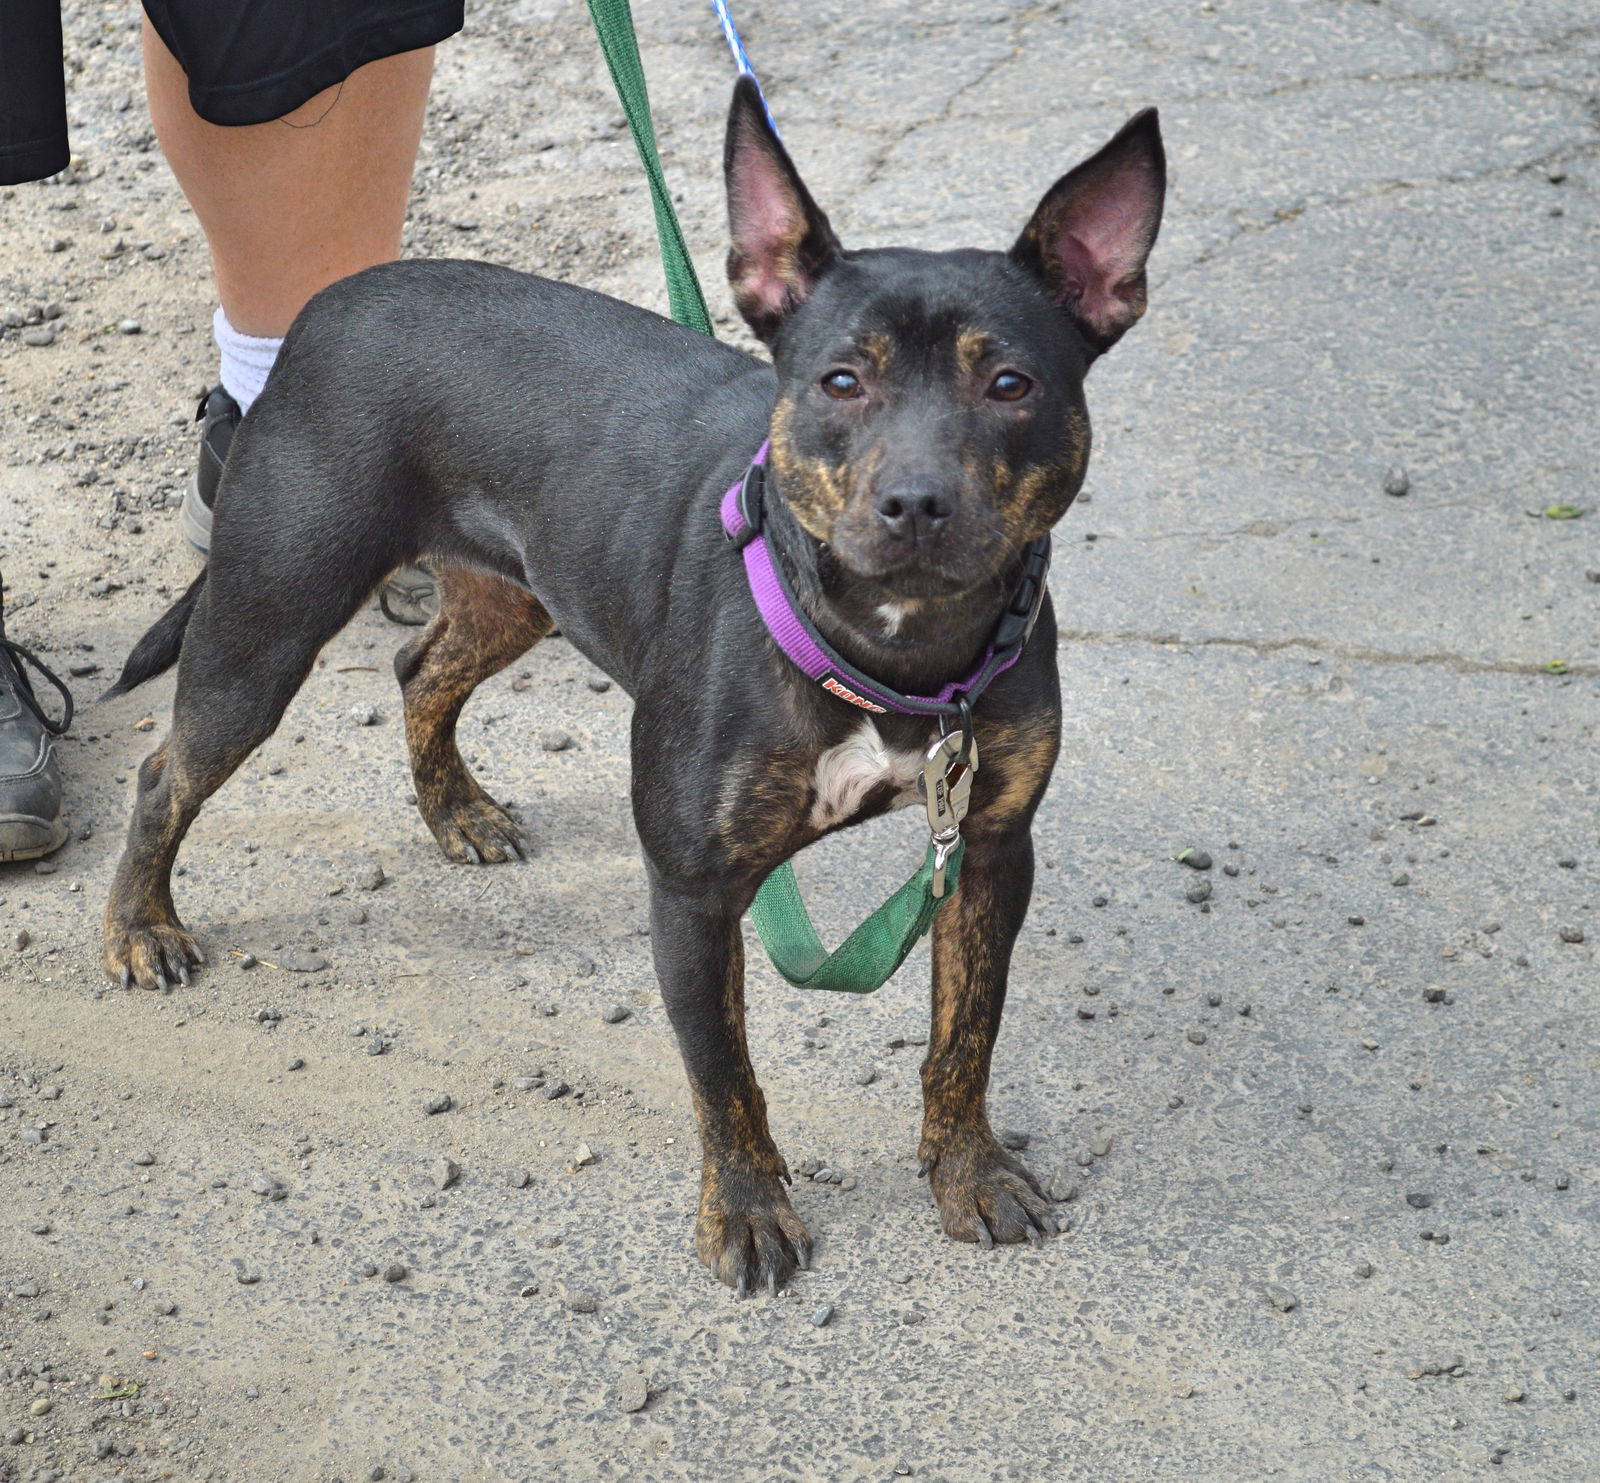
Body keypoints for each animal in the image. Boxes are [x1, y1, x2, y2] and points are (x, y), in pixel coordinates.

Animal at [106, 81, 1171, 1292]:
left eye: (1010, 384)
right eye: (839, 381)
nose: (914, 502)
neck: (889, 649)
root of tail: (327, 308)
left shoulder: (989, 849)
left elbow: (965, 1036)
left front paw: (968, 1171)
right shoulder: (695, 892)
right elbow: (726, 1075)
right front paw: (748, 1212)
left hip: (518, 592)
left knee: (421, 669)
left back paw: (456, 810)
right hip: (267, 622)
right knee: (166, 769)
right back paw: (140, 926)